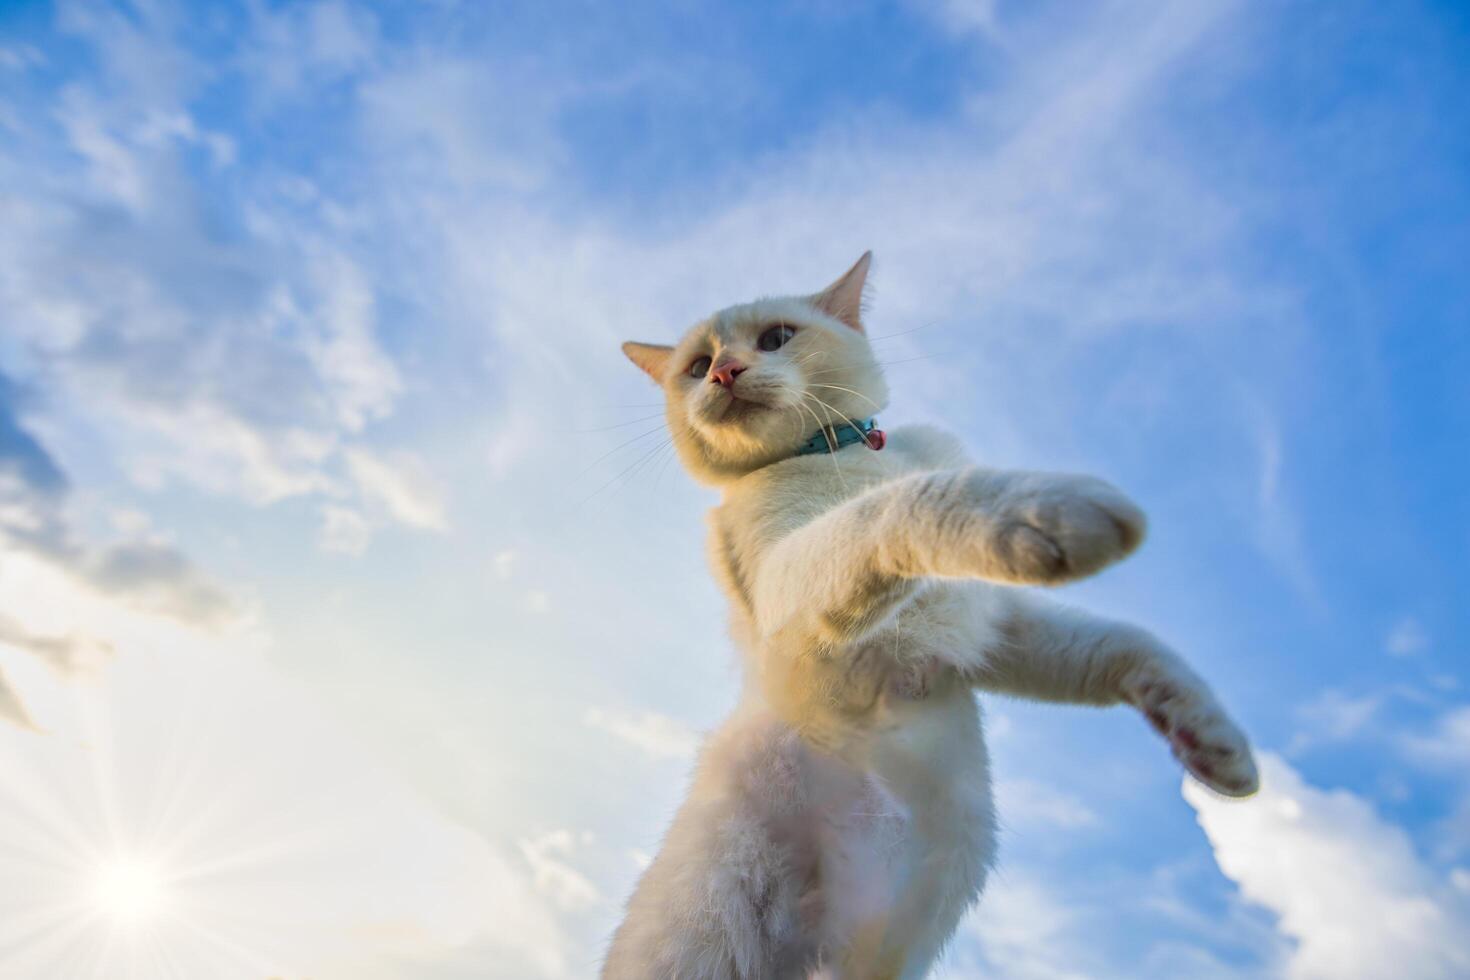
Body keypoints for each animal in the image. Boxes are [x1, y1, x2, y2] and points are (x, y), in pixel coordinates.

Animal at [602, 255, 1258, 980]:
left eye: (775, 338)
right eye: (697, 366)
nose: (724, 373)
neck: (832, 453)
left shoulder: (993, 626)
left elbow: (1120, 645)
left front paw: (1212, 743)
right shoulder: (787, 582)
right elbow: (904, 503)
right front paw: (1050, 507)